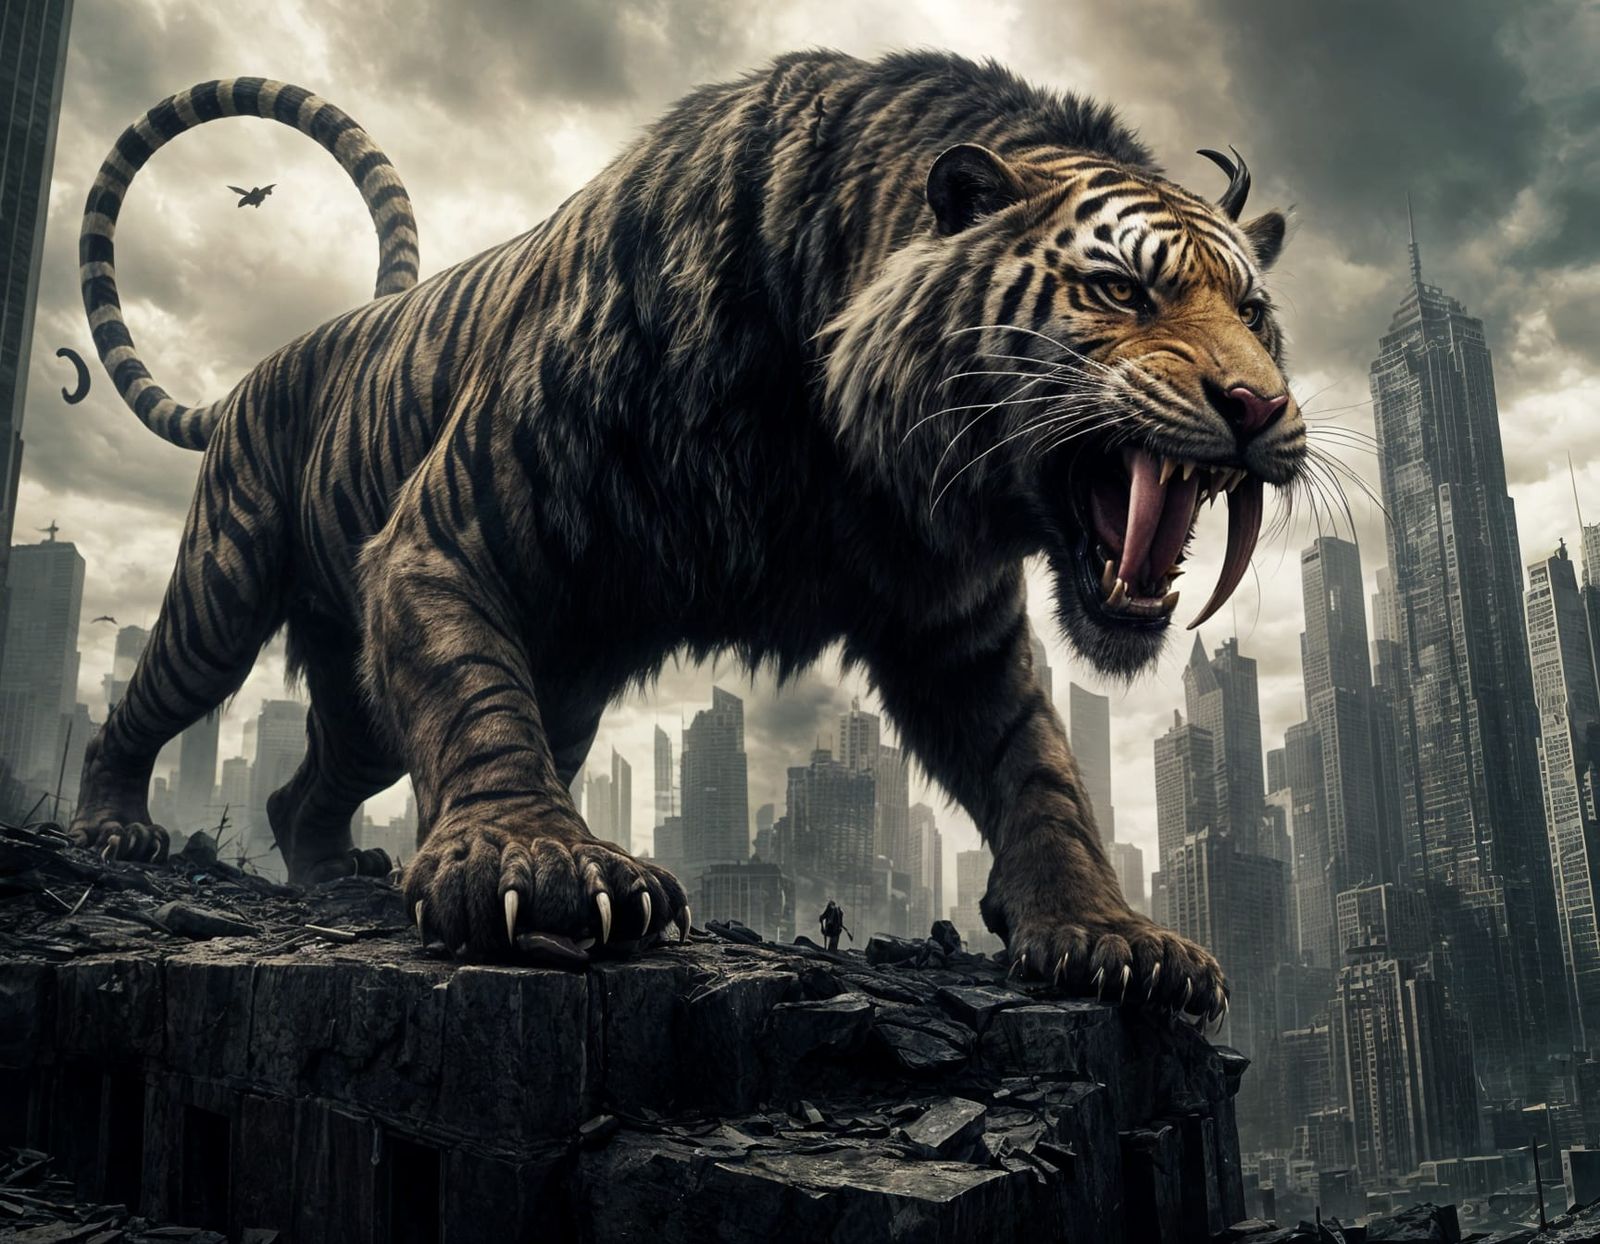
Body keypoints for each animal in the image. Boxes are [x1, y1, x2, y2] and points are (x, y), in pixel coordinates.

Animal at [70, 50, 1305, 1022]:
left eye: (1253, 312)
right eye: (1121, 290)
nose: (1259, 407)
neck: (843, 438)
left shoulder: (957, 630)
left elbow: (1038, 767)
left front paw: (1108, 934)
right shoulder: (447, 535)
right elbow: (477, 700)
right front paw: (541, 860)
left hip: (373, 705)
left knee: (303, 789)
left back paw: (333, 875)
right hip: (222, 596)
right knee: (141, 709)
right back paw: (116, 828)